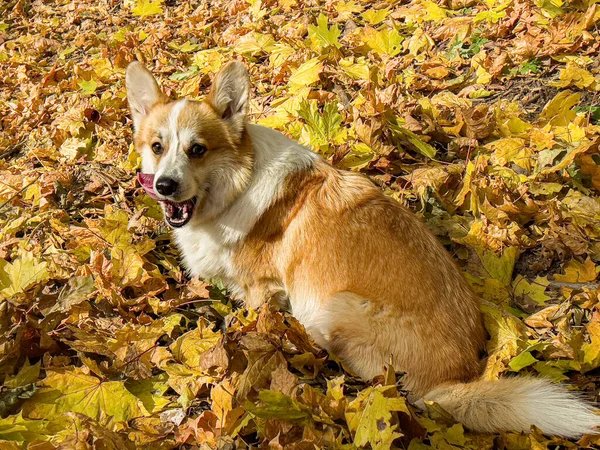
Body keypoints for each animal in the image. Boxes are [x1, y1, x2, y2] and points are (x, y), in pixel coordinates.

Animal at [124, 61, 596, 438]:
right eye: (157, 147)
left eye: (198, 150)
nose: (165, 186)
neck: (235, 186)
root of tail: (454, 380)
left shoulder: (263, 288)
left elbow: (256, 322)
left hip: (332, 308)